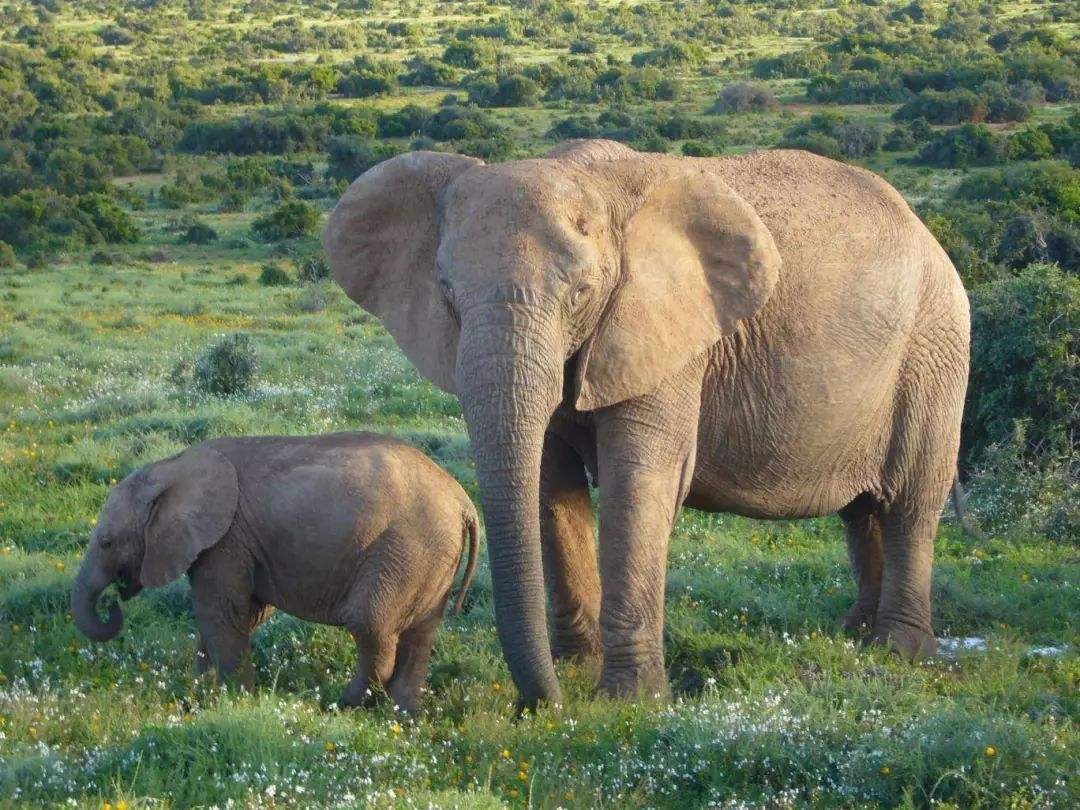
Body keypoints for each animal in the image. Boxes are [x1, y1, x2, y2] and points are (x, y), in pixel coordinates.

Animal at [71, 432, 479, 712]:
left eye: (106, 542)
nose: (114, 603)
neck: (171, 467)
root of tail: (463, 502)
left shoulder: (226, 540)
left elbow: (222, 612)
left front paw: (232, 700)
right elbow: (239, 614)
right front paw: (202, 691)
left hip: (407, 547)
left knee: (370, 624)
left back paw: (339, 703)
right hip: (432, 557)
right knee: (421, 633)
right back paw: (401, 716)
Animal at [323, 140, 970, 709]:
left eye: (582, 292)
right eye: (447, 294)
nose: (541, 706)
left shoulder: (666, 333)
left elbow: (639, 483)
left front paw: (627, 700)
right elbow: (550, 488)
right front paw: (576, 670)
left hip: (935, 349)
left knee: (912, 501)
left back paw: (899, 650)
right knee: (861, 511)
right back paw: (854, 635)